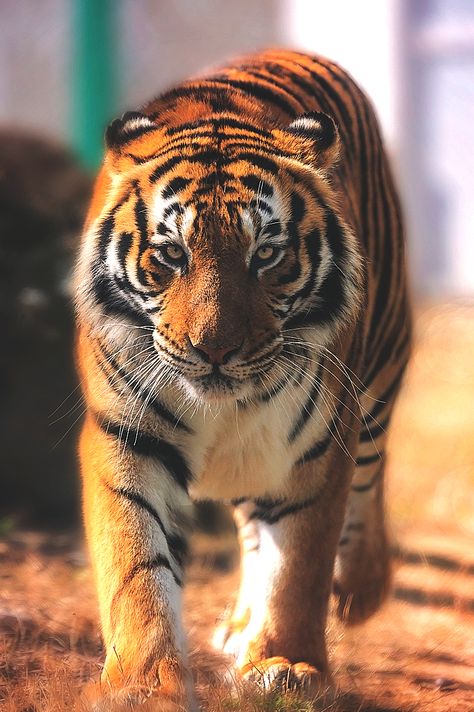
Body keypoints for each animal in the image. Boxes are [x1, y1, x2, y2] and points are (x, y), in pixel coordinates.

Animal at [74, 47, 412, 708]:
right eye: (171, 254)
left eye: (267, 256)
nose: (215, 350)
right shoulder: (125, 435)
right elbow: (134, 560)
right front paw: (143, 681)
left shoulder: (317, 446)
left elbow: (300, 564)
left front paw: (288, 665)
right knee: (255, 530)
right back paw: (238, 628)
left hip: (380, 373)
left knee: (370, 477)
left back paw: (359, 590)